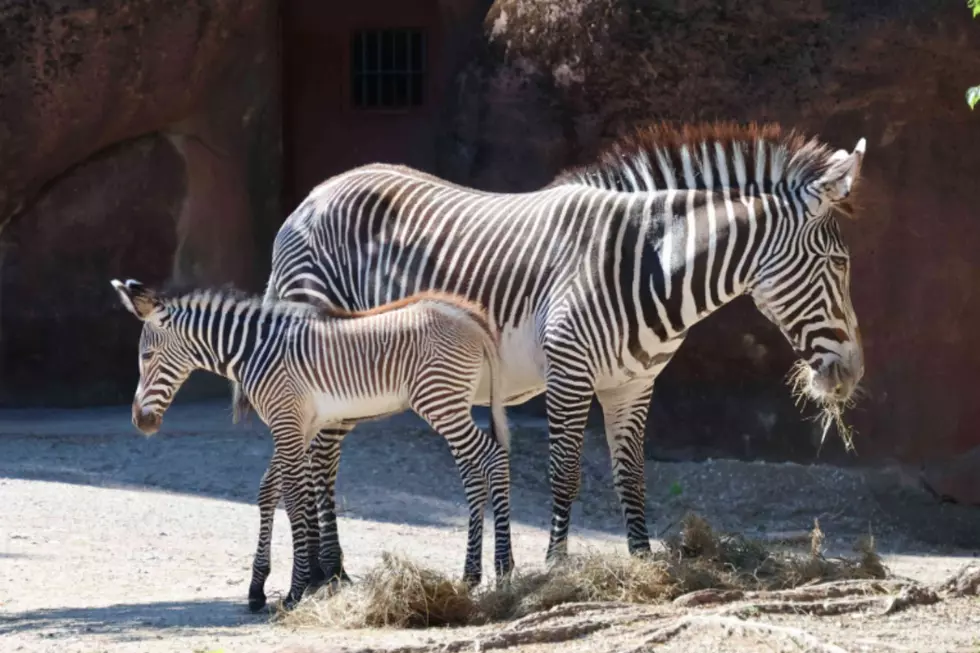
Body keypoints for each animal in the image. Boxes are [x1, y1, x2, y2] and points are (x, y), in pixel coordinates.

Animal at [110, 280, 514, 611]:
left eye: (146, 356)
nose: (140, 422)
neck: (255, 351)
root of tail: (469, 318)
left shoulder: (286, 422)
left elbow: (292, 496)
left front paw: (296, 589)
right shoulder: (298, 426)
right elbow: (269, 491)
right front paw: (258, 588)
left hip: (440, 401)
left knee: (494, 458)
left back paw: (504, 568)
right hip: (451, 405)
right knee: (476, 472)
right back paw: (471, 575)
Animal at [234, 121, 867, 577]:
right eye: (838, 263)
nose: (854, 373)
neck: (650, 264)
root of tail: (311, 198)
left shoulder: (633, 385)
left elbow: (631, 475)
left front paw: (643, 563)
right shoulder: (569, 370)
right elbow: (566, 473)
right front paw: (557, 566)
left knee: (323, 457)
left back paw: (331, 572)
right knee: (319, 460)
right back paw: (324, 574)